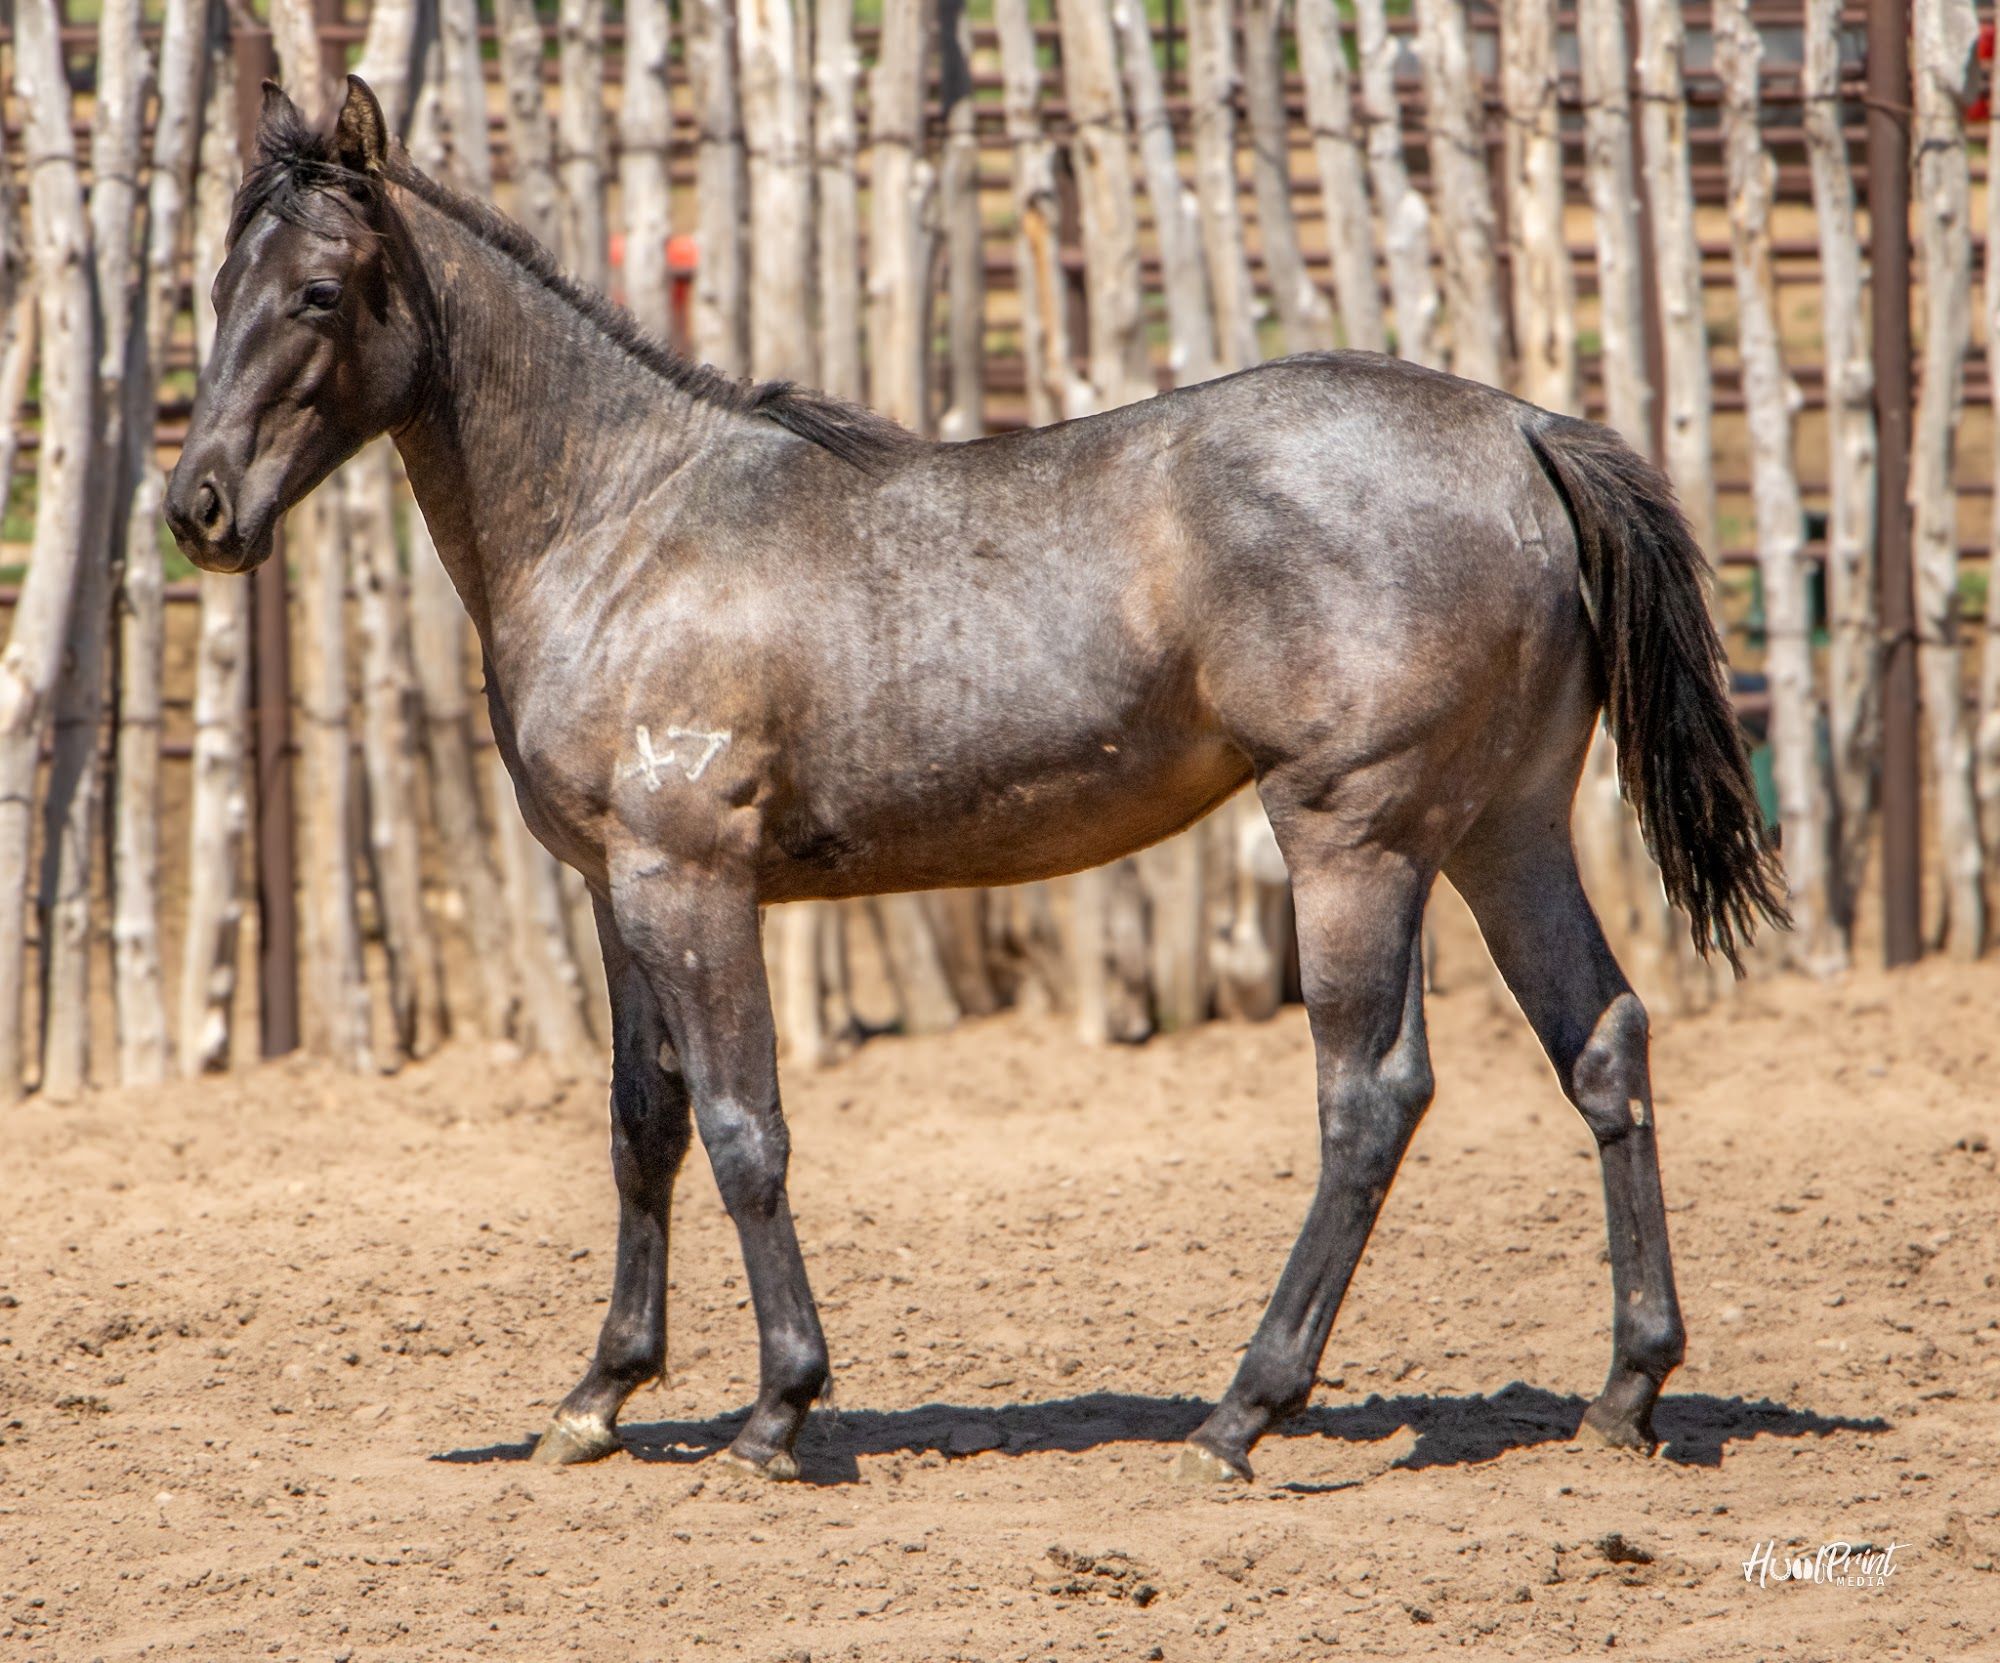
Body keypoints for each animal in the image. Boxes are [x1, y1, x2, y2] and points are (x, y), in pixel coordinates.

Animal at [166, 78, 1785, 1484]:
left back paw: (1241, 1413)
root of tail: (1518, 430)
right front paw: (599, 1394)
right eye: (215, 287)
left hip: (1357, 841)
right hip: (1502, 832)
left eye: (320, 294)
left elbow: (745, 1128)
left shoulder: (691, 882)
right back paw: (1626, 1388)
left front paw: (779, 1409)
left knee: (1369, 1097)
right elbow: (644, 1128)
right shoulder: (617, 893)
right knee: (1604, 1045)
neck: (627, 521)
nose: (199, 509)